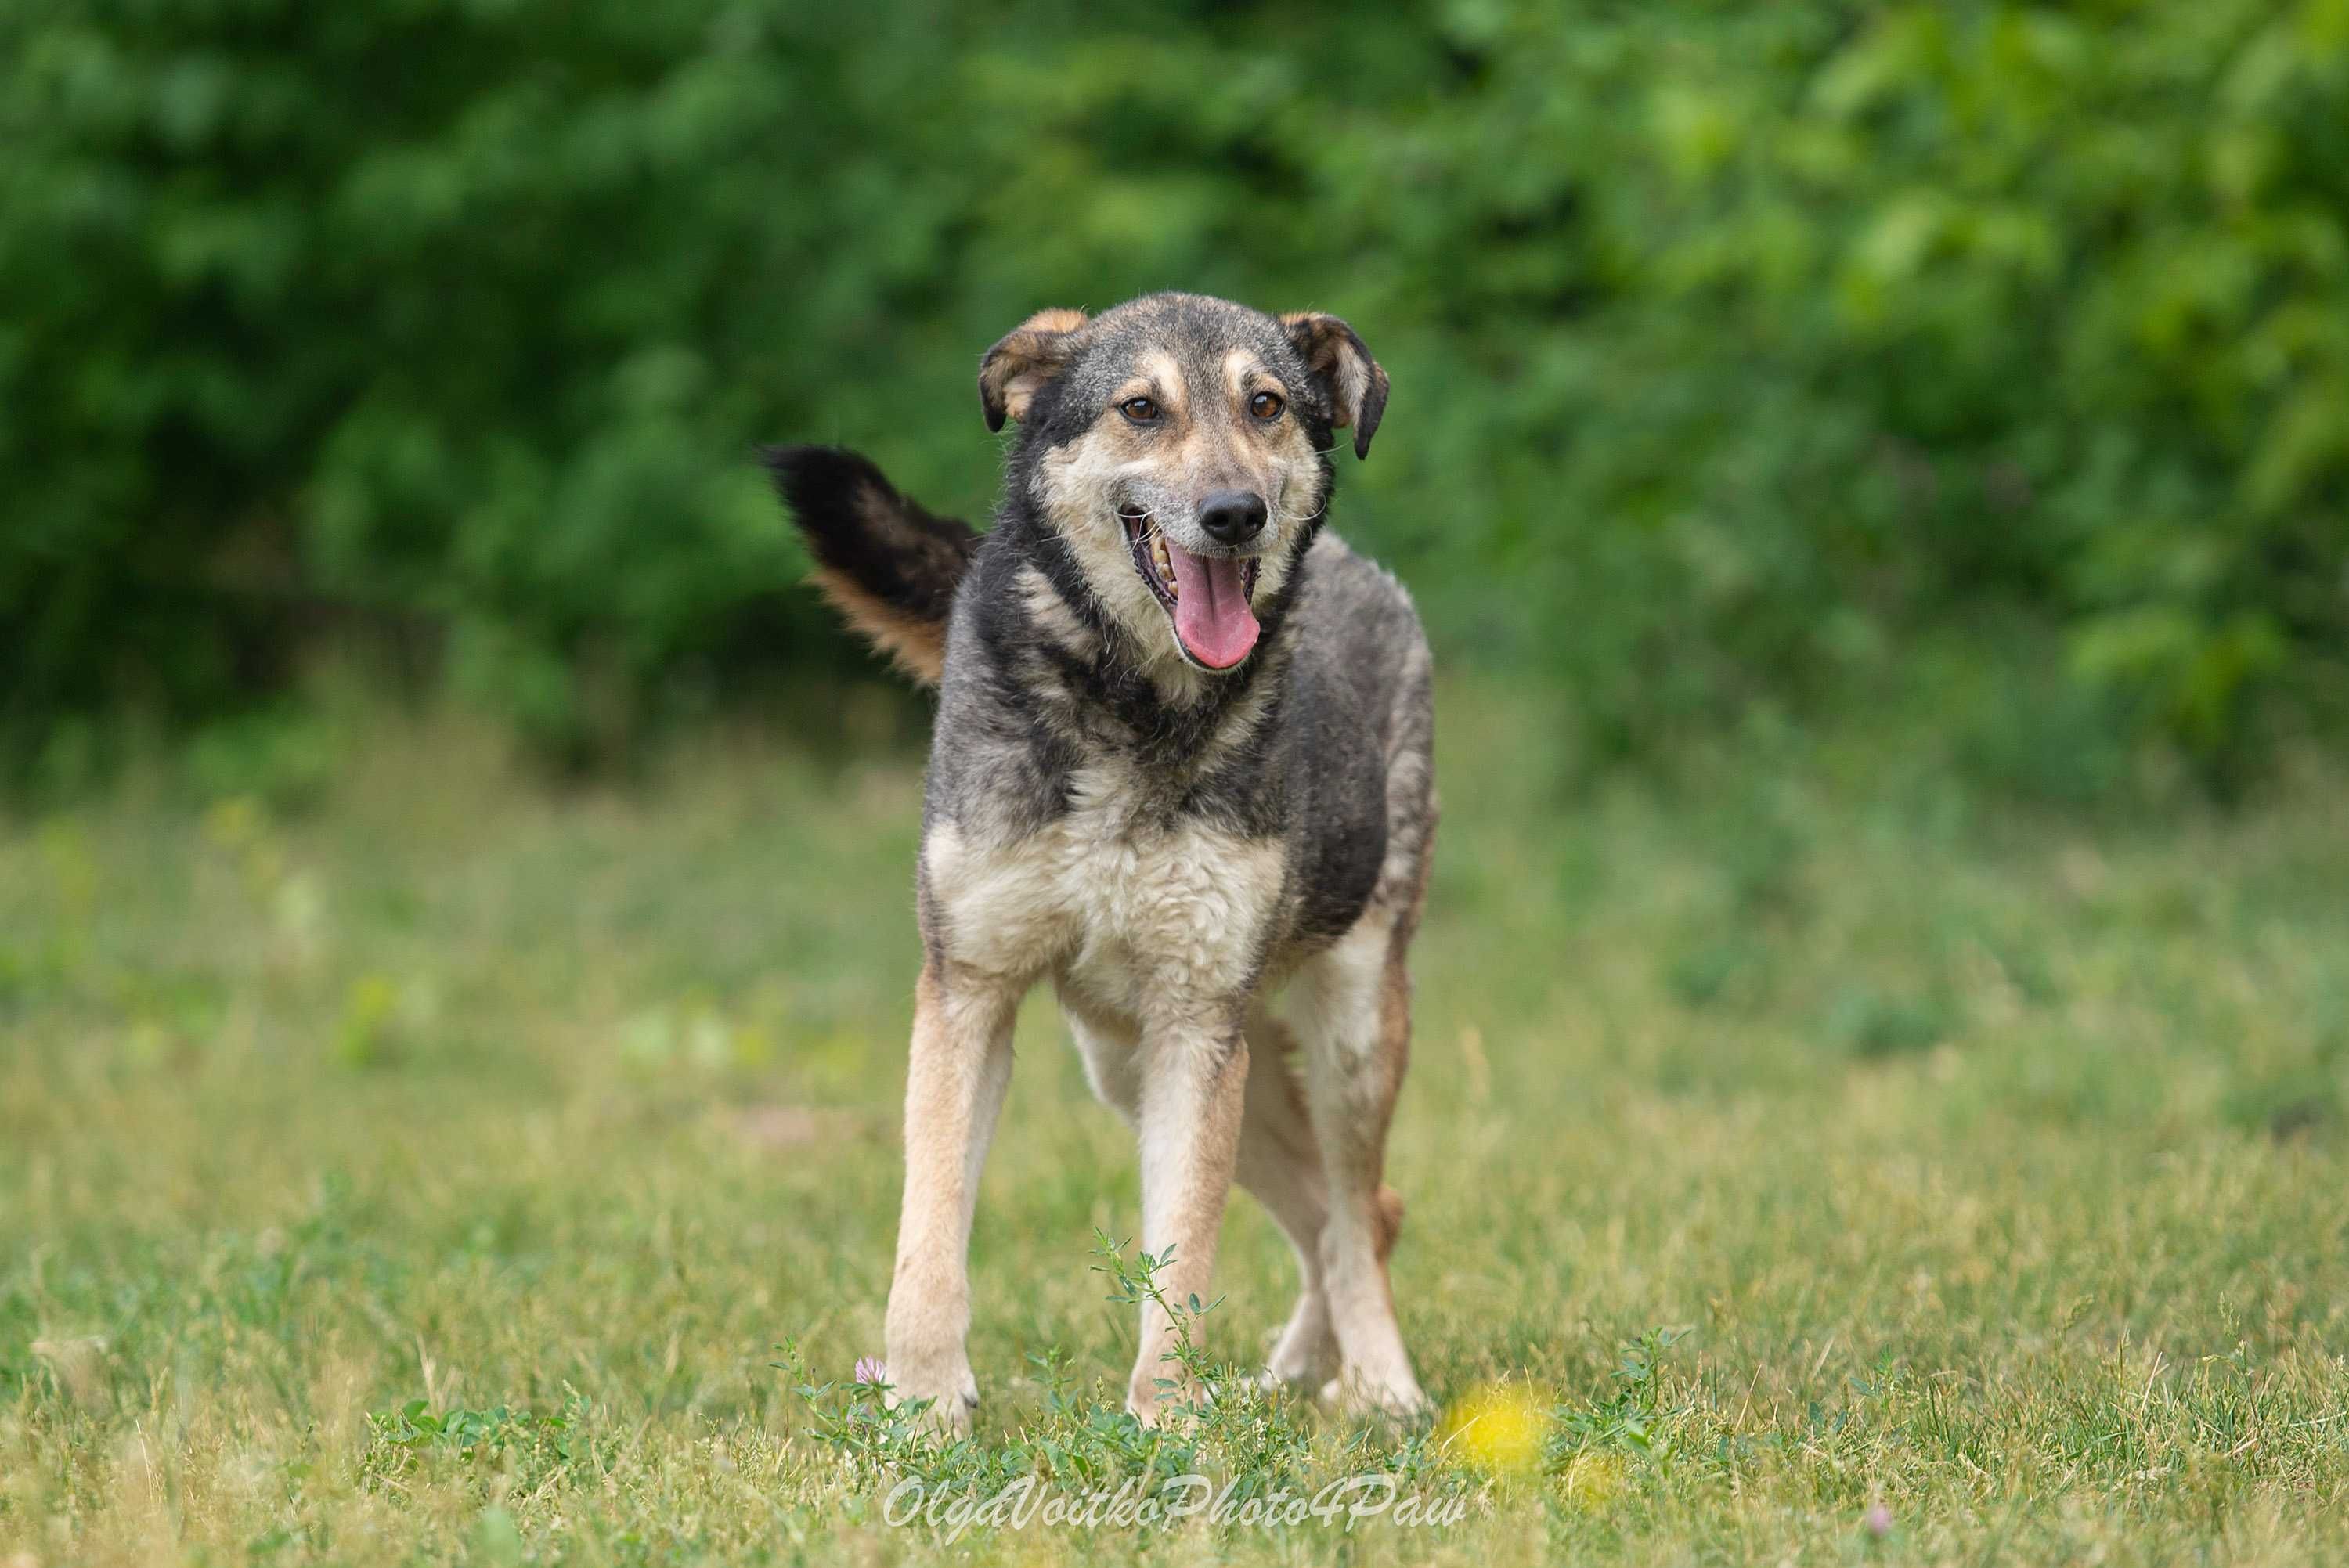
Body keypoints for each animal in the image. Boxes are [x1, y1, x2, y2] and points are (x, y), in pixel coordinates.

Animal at [766, 287, 1428, 1427]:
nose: (1235, 514)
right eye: (1141, 408)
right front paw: (926, 1407)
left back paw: (1377, 1383)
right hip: (1132, 1061)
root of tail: (1366, 572)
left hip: (1339, 1030)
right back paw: (1295, 1371)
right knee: (1336, 1213)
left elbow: (1185, 1255)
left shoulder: (1196, 1027)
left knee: (1360, 1209)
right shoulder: (969, 990)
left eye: (1265, 404)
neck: (1129, 704)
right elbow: (927, 1237)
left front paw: (1169, 1423)